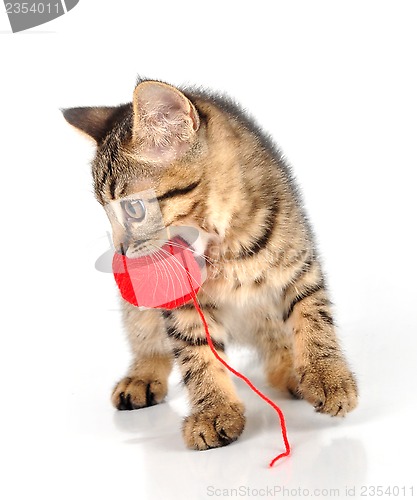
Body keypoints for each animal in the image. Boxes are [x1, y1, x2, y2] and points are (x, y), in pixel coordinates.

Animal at [62, 80, 358, 452]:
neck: (219, 242)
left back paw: (292, 370)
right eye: (106, 212)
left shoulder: (299, 264)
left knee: (276, 342)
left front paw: (328, 377)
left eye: (133, 210)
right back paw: (142, 375)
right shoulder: (180, 300)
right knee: (146, 336)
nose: (121, 250)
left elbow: (313, 317)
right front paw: (214, 411)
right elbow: (197, 354)